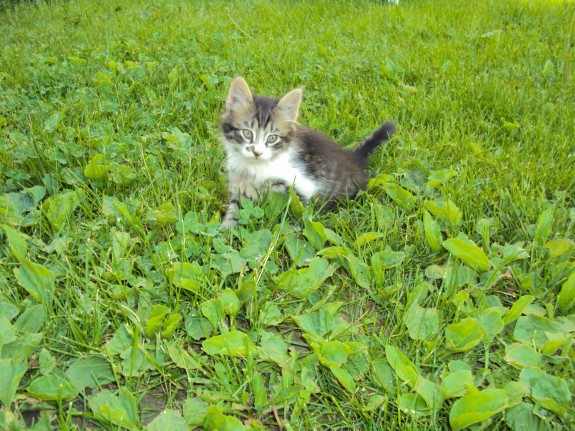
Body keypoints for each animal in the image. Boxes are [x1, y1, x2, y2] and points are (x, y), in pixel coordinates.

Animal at [220, 76, 396, 230]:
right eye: (247, 133)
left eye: (272, 138)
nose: (257, 152)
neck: (253, 167)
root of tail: (354, 157)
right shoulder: (237, 182)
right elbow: (236, 207)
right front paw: (226, 229)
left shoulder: (300, 185)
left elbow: (296, 211)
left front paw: (292, 229)